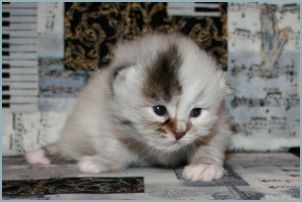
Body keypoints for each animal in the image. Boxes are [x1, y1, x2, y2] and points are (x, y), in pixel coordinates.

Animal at [26, 32, 234, 181]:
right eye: (159, 110)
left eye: (196, 112)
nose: (179, 134)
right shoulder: (110, 124)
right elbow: (114, 149)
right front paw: (103, 160)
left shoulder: (219, 126)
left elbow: (210, 146)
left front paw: (205, 166)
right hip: (81, 128)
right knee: (69, 145)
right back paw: (41, 155)